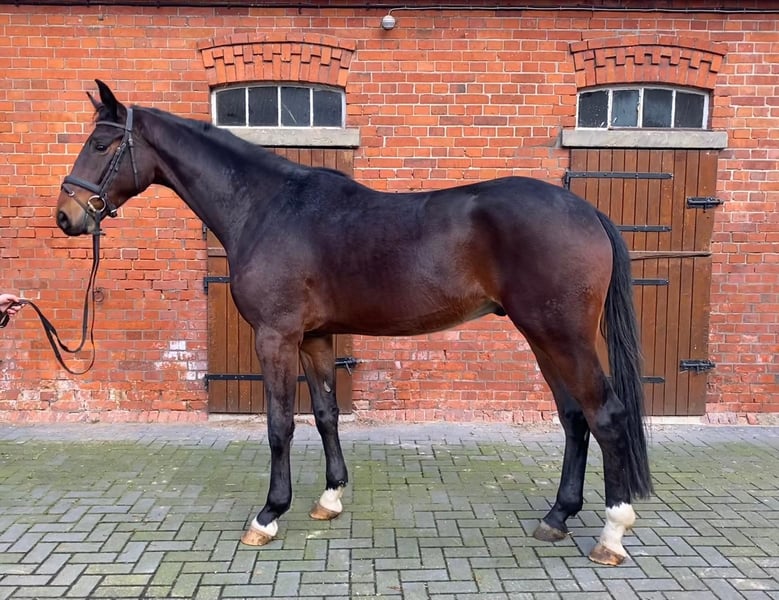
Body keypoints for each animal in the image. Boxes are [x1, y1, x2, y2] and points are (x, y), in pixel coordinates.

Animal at [56, 80, 652, 566]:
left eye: (102, 144)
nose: (68, 216)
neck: (268, 208)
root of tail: (587, 211)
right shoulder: (315, 338)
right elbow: (325, 414)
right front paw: (329, 498)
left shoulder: (275, 337)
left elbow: (279, 425)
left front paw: (268, 516)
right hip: (542, 338)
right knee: (574, 419)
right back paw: (557, 517)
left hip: (562, 336)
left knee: (606, 415)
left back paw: (612, 534)